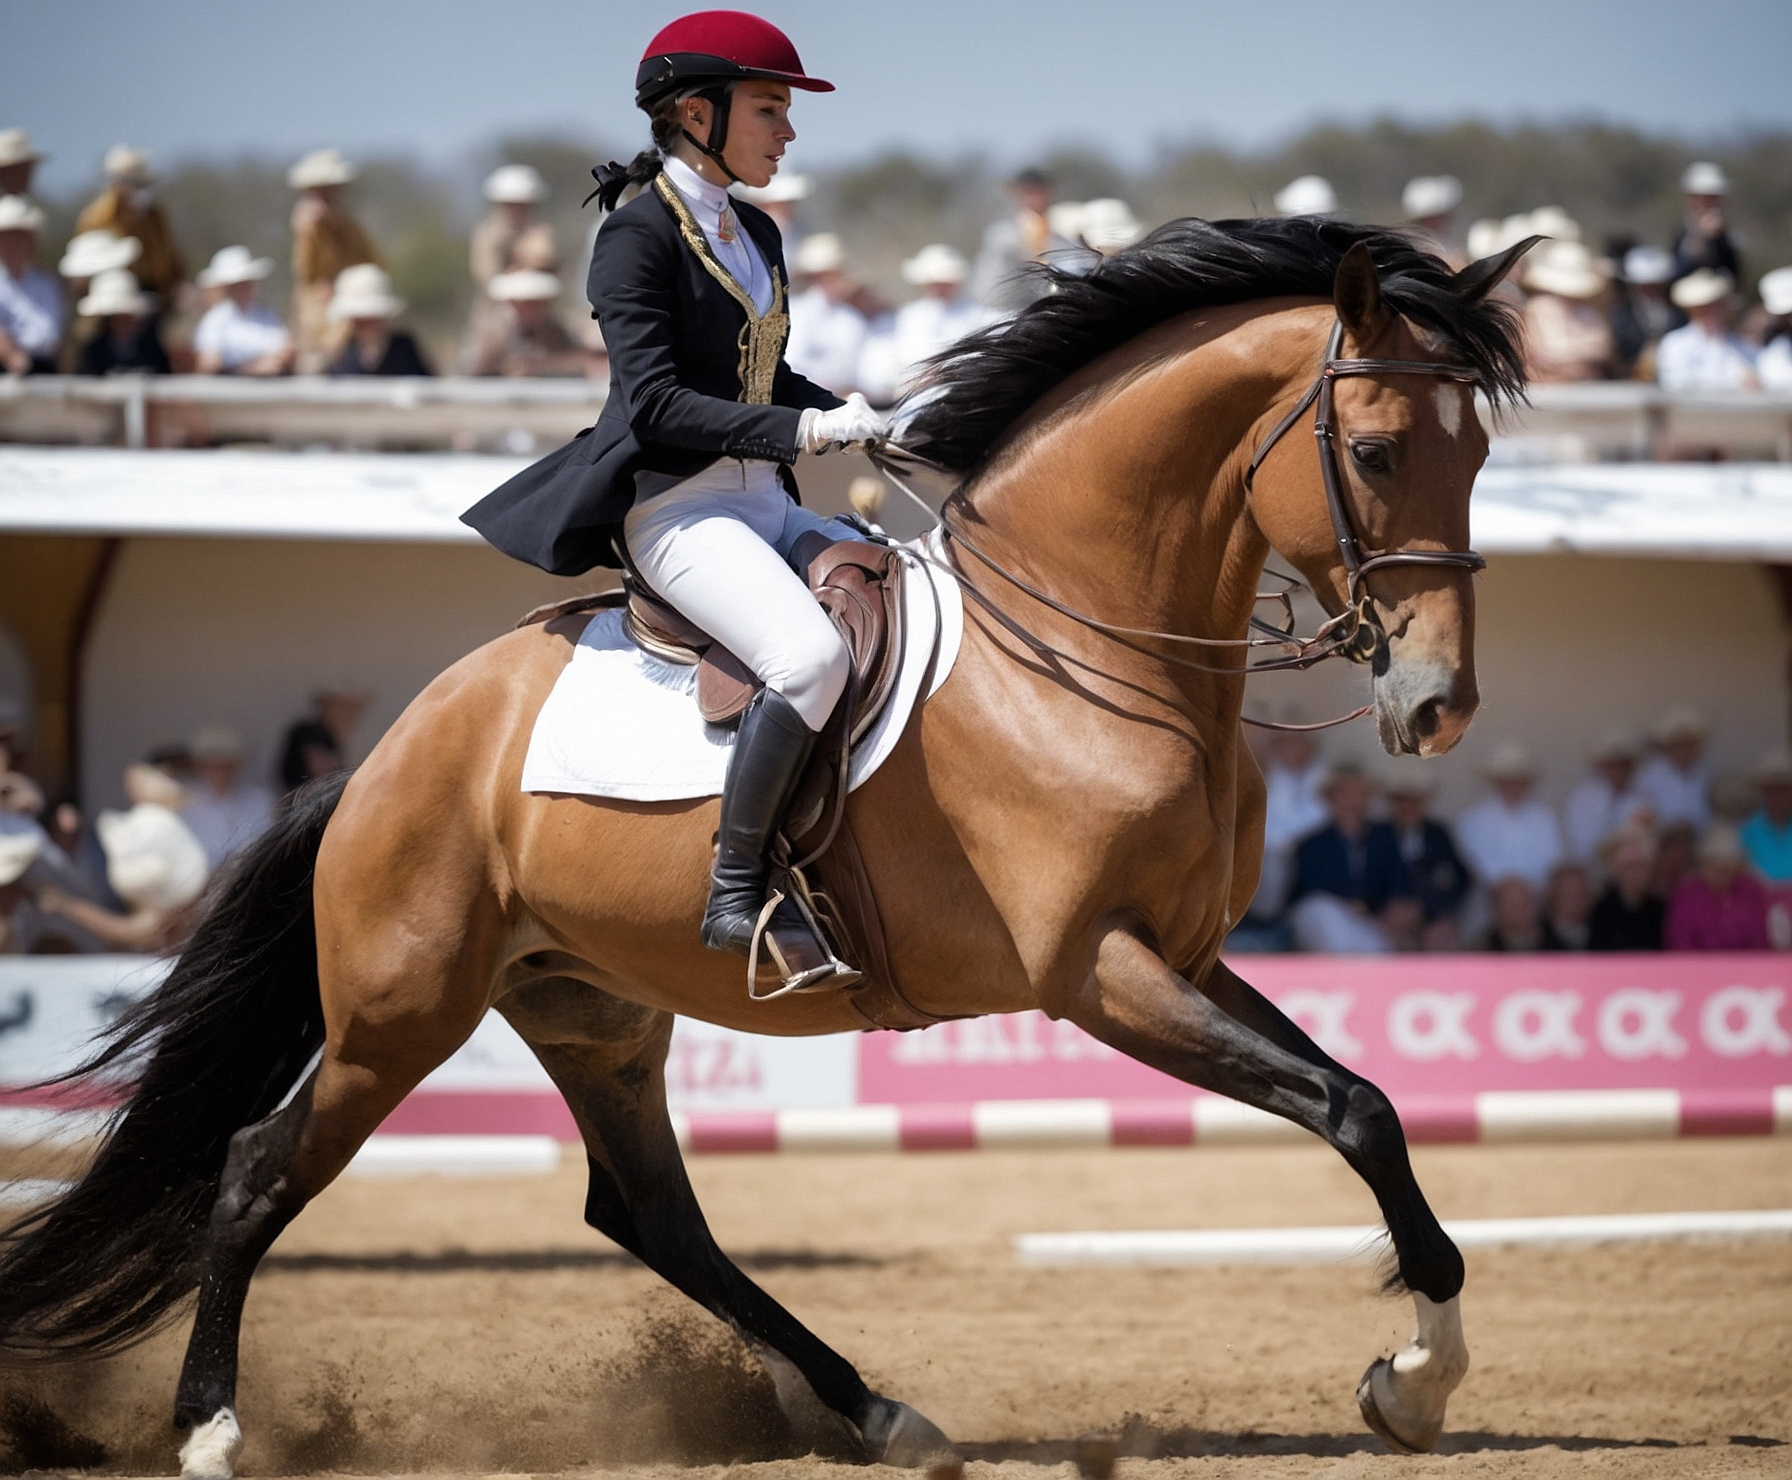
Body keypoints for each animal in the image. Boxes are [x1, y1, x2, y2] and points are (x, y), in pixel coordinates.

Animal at [0, 217, 1531, 1477]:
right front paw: (1417, 1376)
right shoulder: (1097, 971)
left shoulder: (1186, 956)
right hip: (398, 1008)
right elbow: (1339, 1107)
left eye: (1477, 454)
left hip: (592, 1011)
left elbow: (1367, 1105)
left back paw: (878, 1411)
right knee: (259, 1168)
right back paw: (210, 1431)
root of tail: (390, 753)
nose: (1439, 706)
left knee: (648, 1215)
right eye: (1380, 451)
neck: (1091, 652)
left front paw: (1415, 1379)